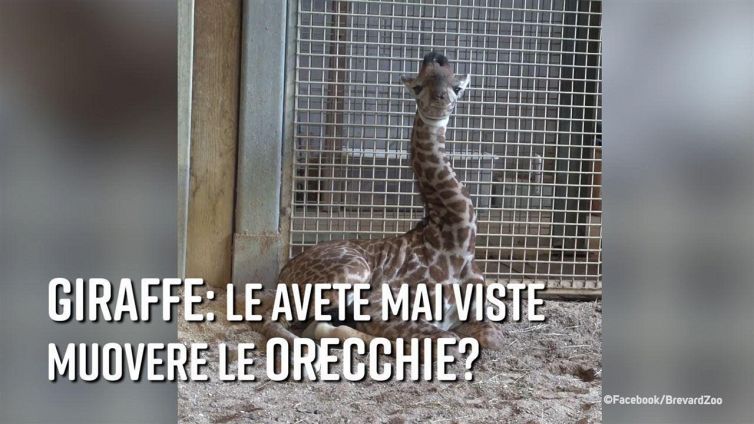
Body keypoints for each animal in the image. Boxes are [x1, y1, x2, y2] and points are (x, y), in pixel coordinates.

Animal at [244, 52, 504, 353]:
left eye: (457, 87)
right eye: (417, 87)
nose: (441, 102)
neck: (454, 243)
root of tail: (284, 275)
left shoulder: (479, 310)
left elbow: (491, 337)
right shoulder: (381, 306)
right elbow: (449, 339)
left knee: (312, 326)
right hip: (350, 274)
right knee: (274, 322)